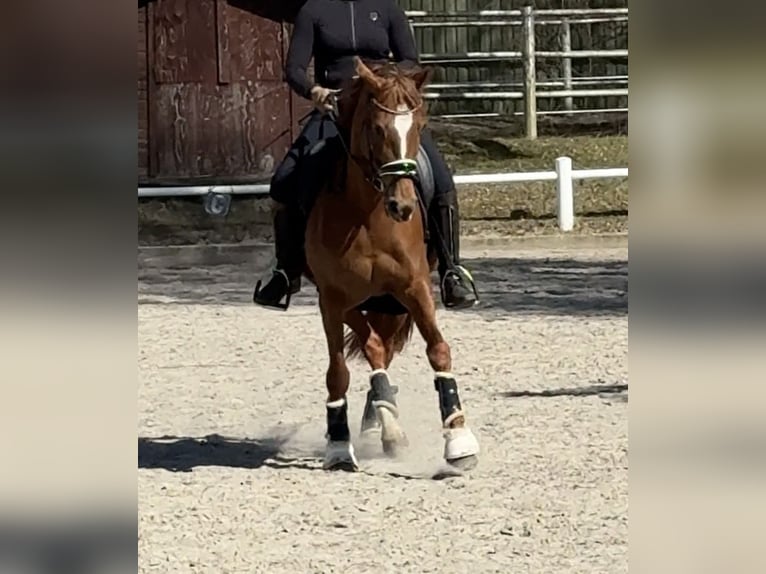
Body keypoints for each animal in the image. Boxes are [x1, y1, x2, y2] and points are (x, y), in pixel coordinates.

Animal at [304, 57, 480, 472]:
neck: (367, 217)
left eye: (418, 125)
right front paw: (339, 444)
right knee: (375, 350)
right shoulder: (333, 298)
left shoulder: (413, 288)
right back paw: (384, 424)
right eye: (377, 128)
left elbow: (439, 350)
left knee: (381, 346)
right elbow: (339, 371)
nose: (402, 206)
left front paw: (459, 439)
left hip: (390, 304)